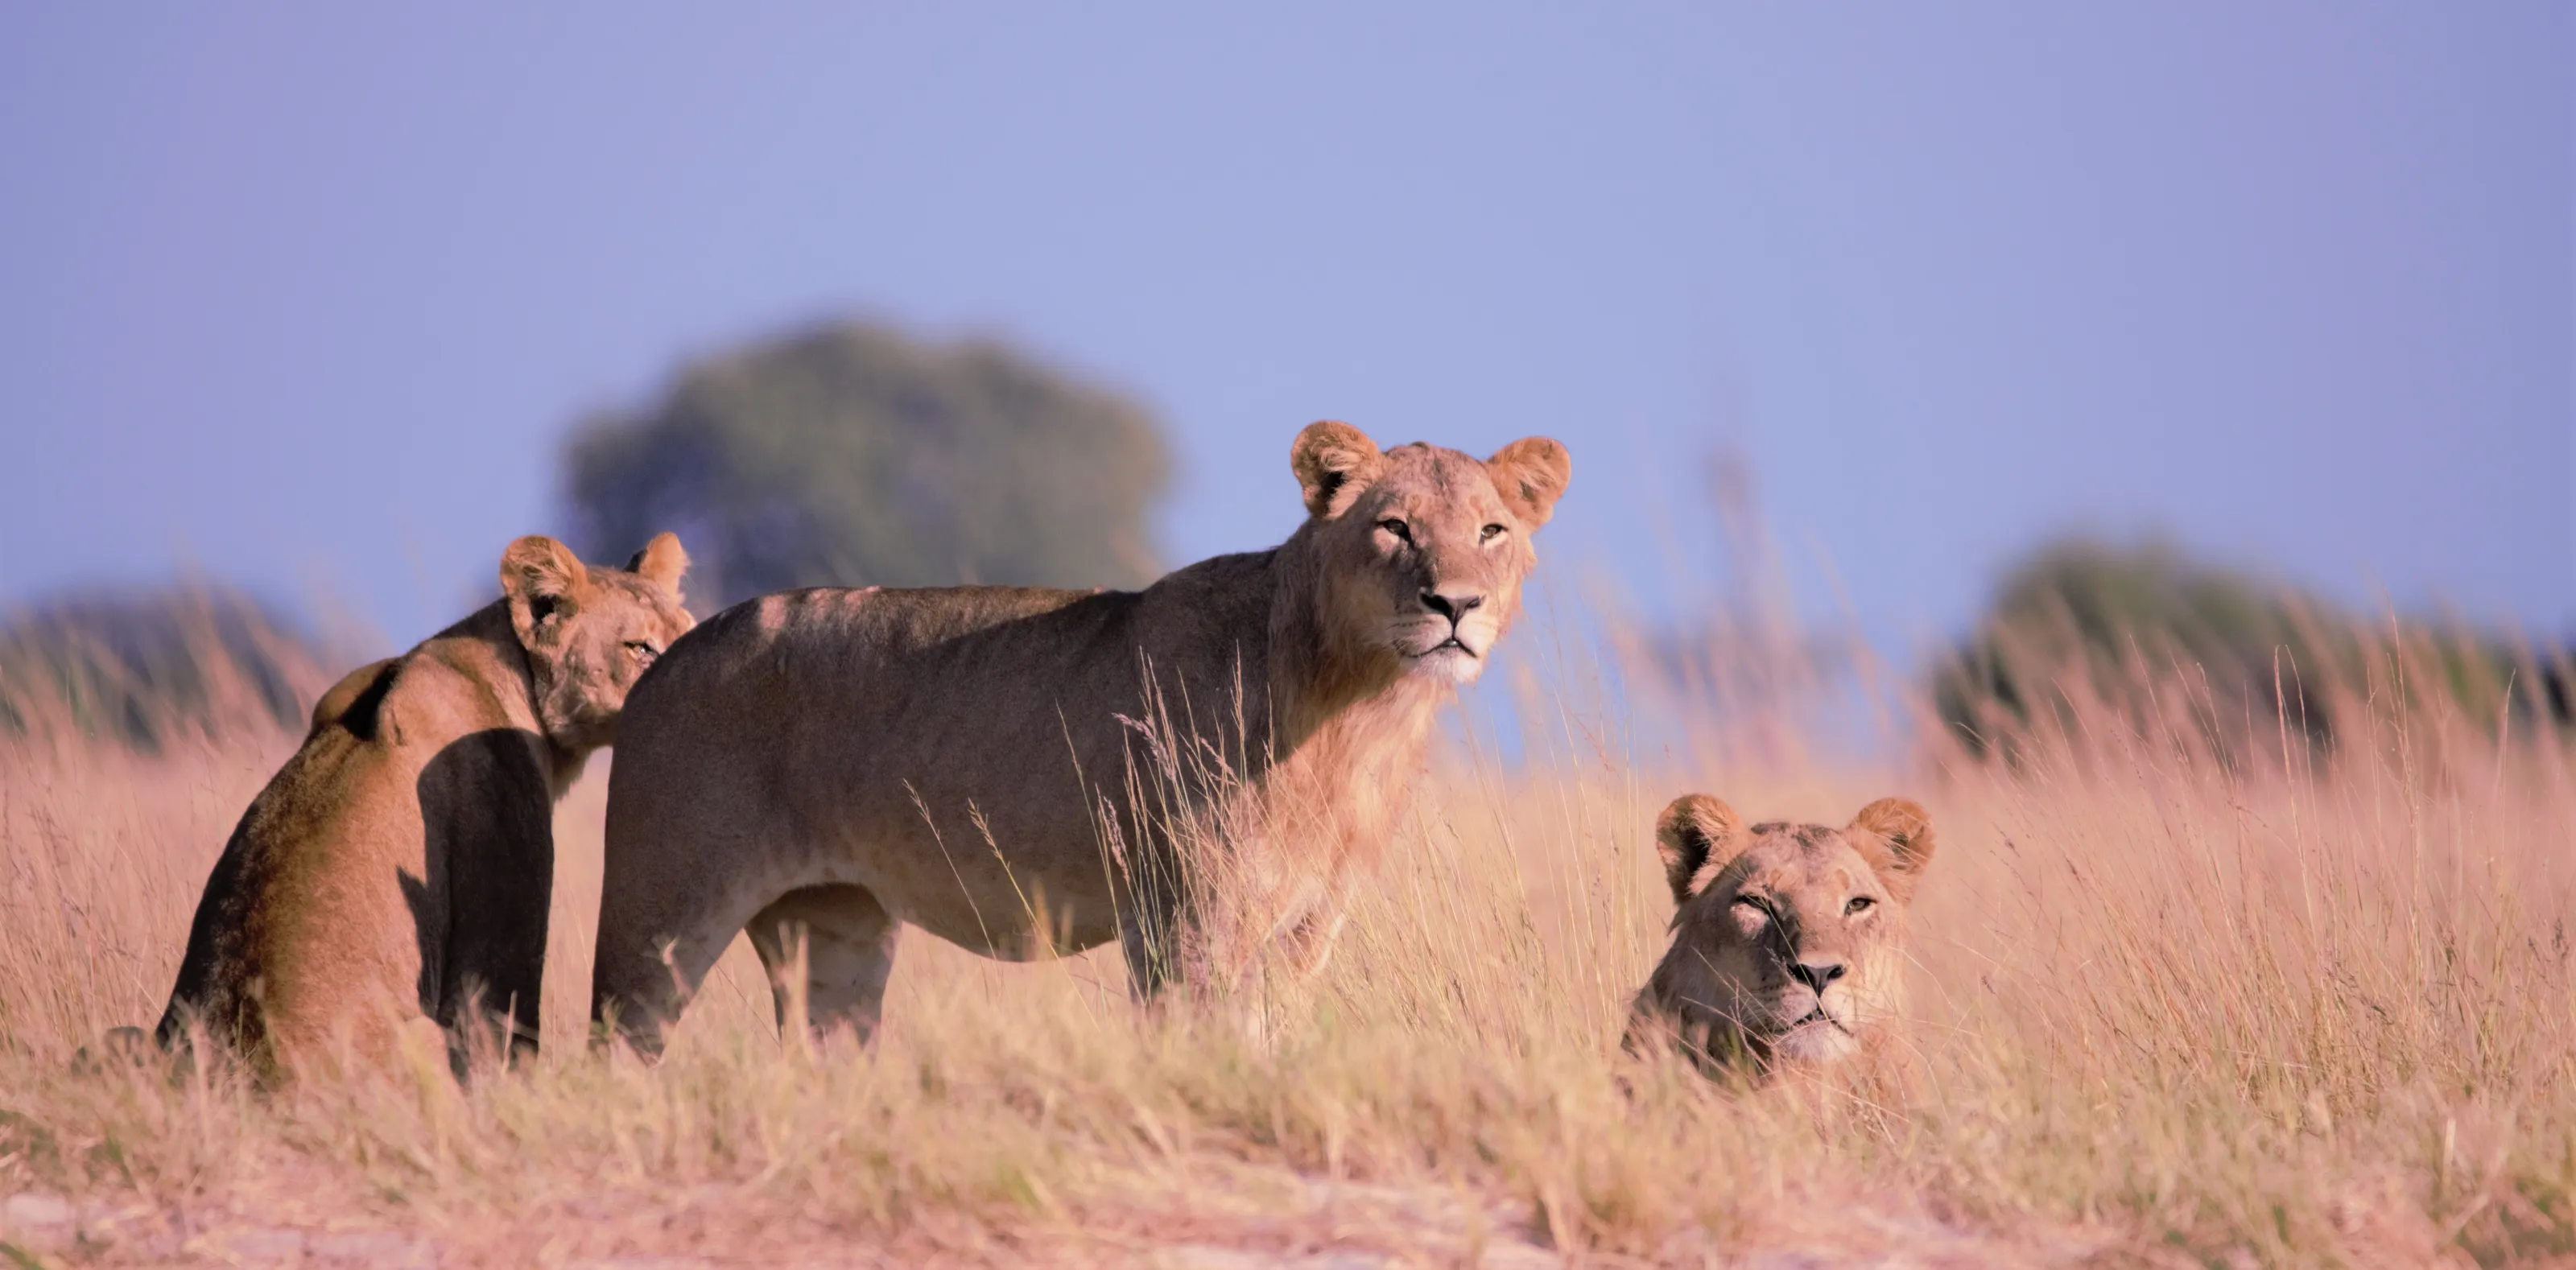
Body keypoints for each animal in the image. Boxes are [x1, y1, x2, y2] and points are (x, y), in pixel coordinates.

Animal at [589, 421, 1571, 1054]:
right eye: (1394, 527)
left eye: (1491, 530)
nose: (1455, 604)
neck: (1364, 711)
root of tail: (672, 653)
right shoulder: (1183, 921)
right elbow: (1199, 1049)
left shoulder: (1306, 925)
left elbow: (1275, 1044)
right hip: (662, 910)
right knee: (613, 1043)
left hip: (835, 930)